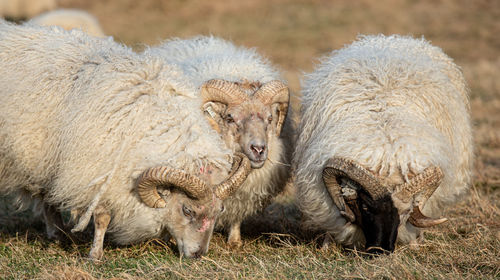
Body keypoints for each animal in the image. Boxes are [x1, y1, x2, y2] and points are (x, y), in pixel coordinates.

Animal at [0, 21, 250, 260]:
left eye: (220, 211)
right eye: (187, 211)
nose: (198, 255)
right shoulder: (100, 174)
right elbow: (102, 217)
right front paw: (95, 255)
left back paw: (57, 233)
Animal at [294, 34, 474, 254]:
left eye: (406, 212)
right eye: (365, 207)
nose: (381, 250)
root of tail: (394, 39)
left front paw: (414, 243)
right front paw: (327, 245)